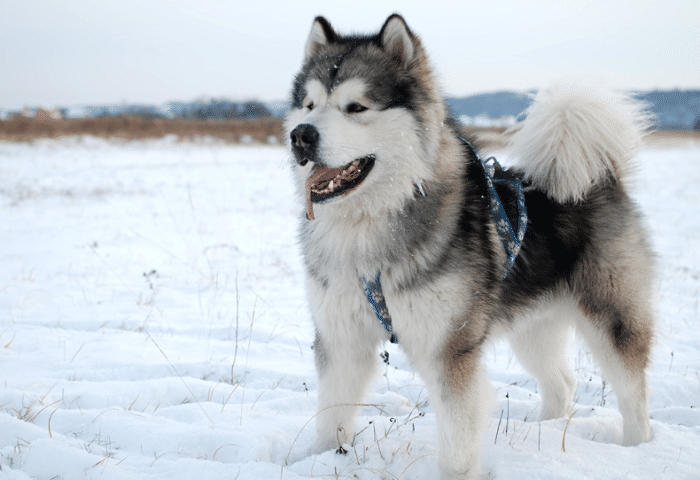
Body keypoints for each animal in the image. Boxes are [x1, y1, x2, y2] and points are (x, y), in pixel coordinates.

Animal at [284, 13, 652, 478]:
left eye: (356, 107)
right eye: (309, 105)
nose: (301, 135)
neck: (370, 226)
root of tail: (602, 176)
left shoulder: (450, 348)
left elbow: (458, 437)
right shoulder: (340, 338)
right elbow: (331, 413)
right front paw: (318, 460)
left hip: (611, 314)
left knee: (632, 390)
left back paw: (638, 448)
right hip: (533, 325)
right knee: (562, 382)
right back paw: (544, 434)